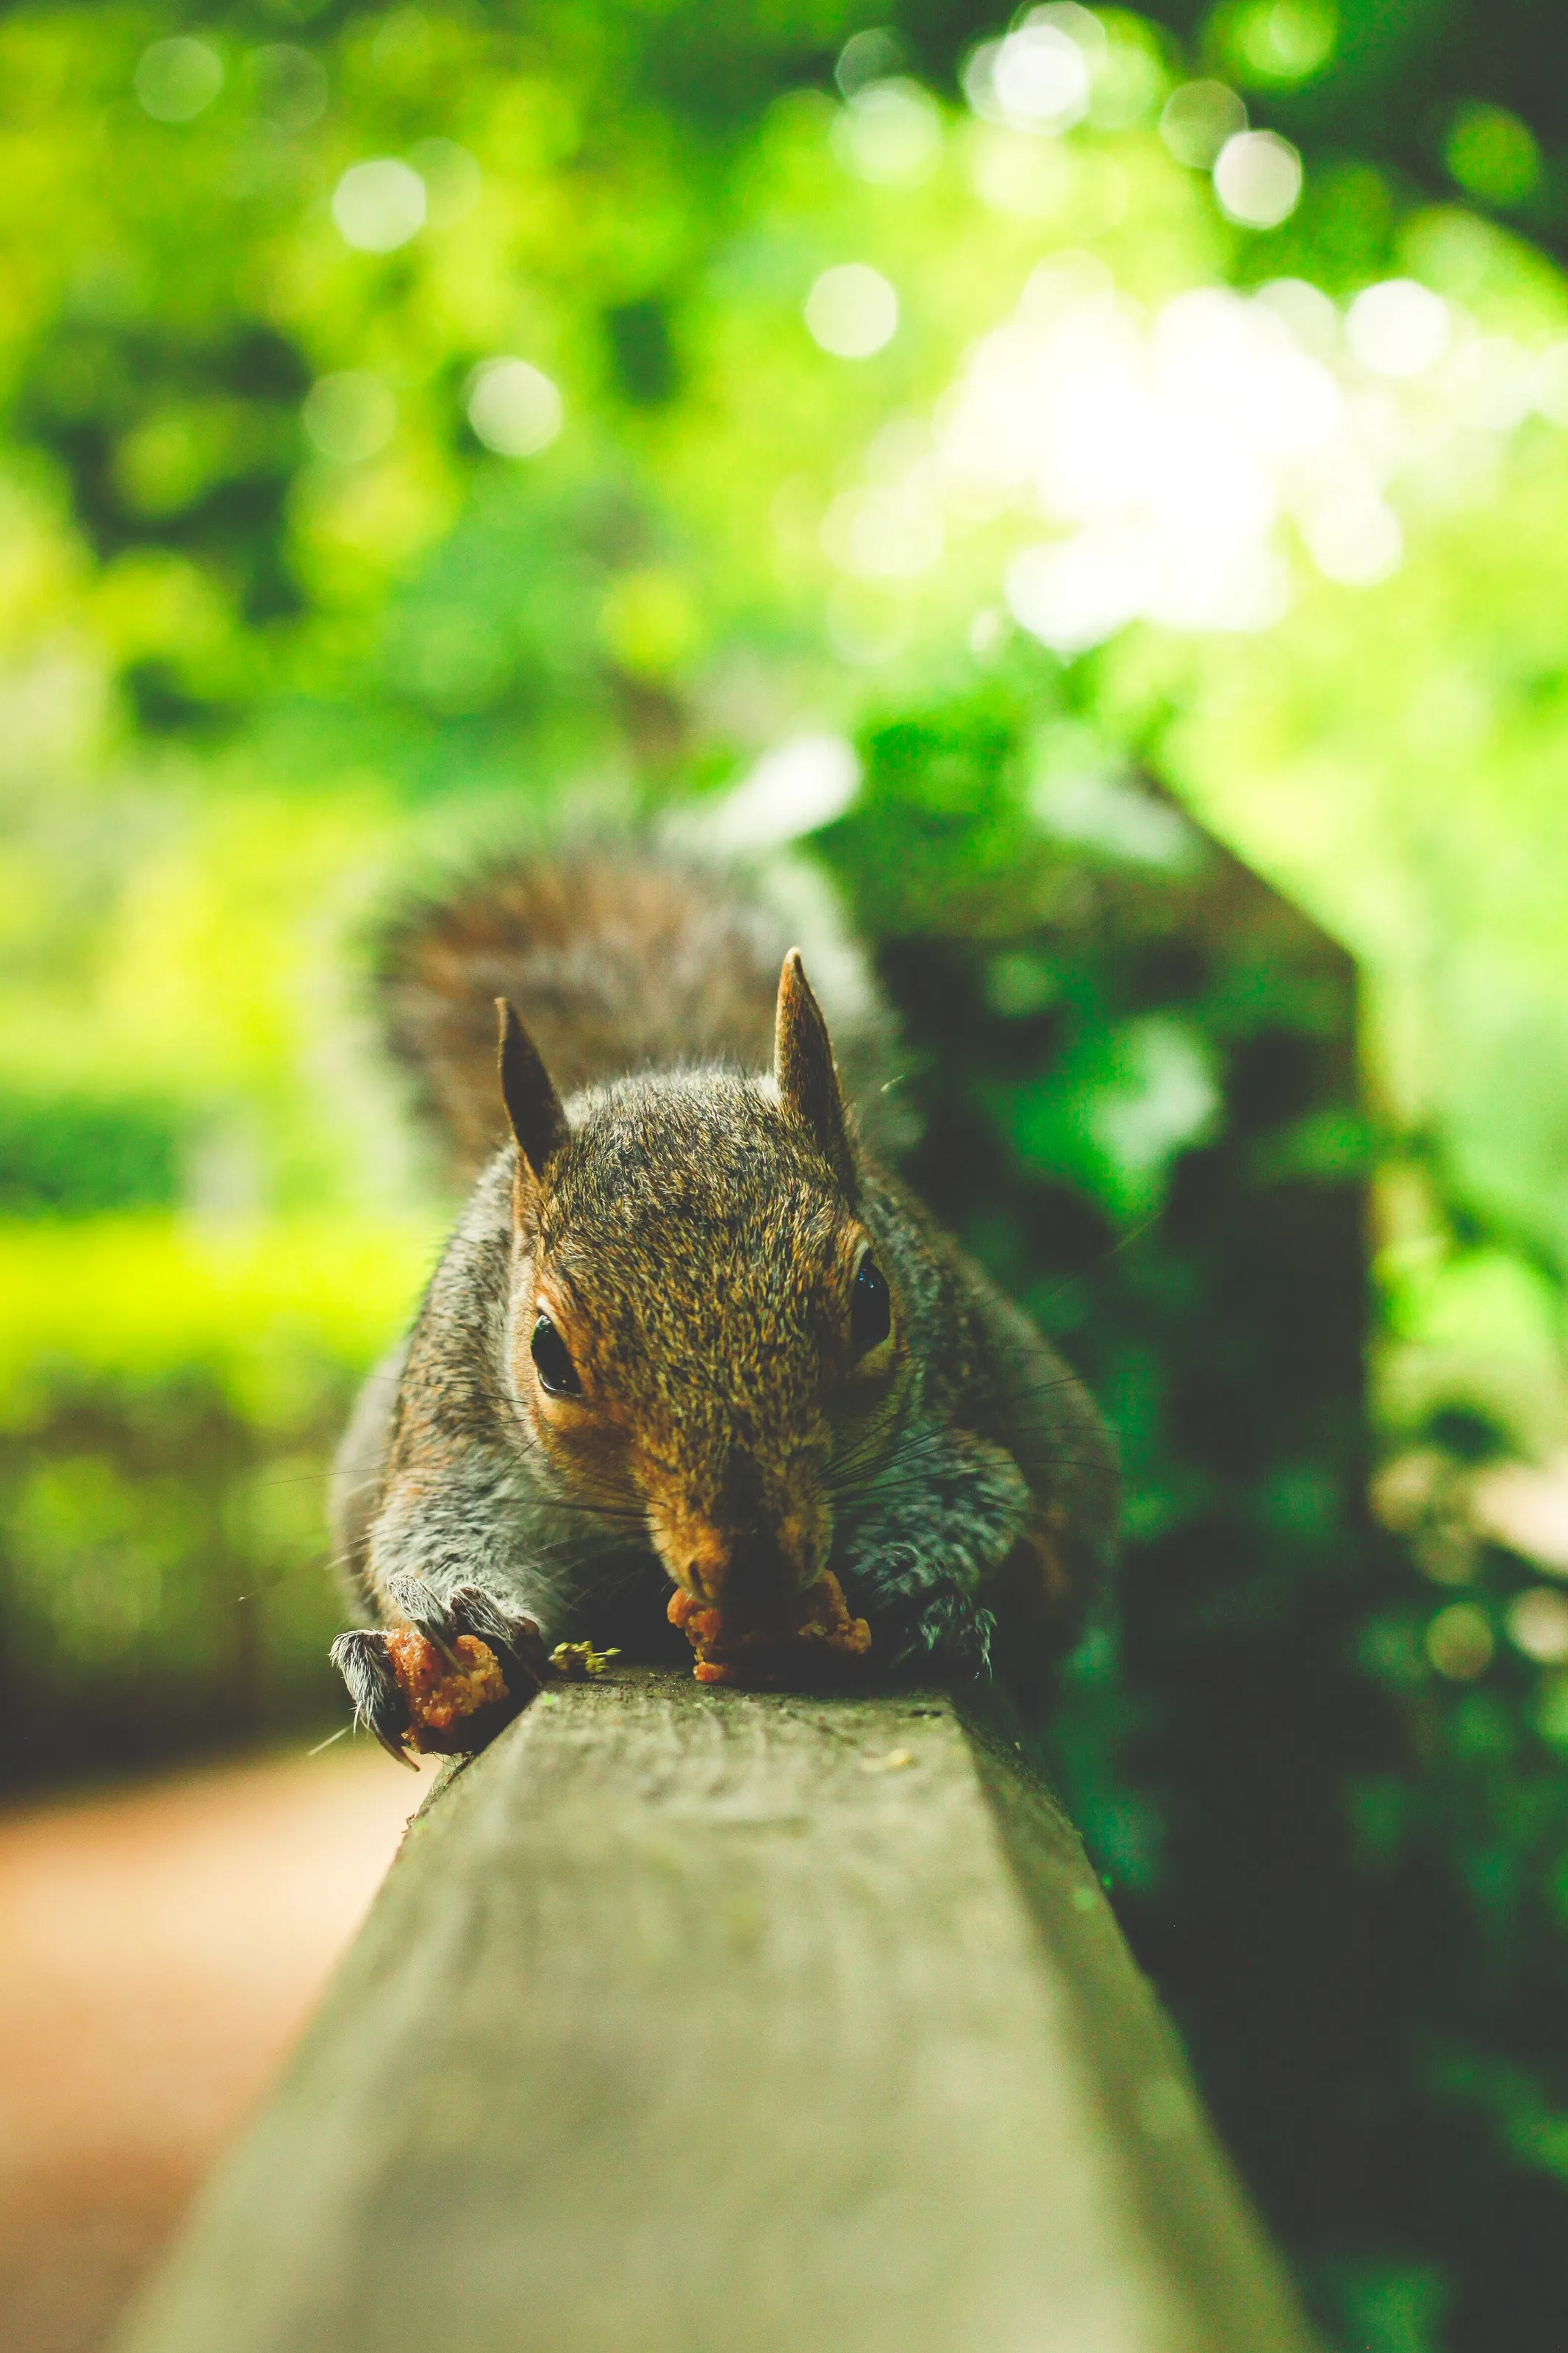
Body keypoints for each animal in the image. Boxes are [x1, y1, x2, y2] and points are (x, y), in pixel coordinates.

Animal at [329, 826, 1118, 1758]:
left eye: (872, 1300)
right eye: (546, 1352)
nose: (754, 1568)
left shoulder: (959, 1415)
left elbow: (978, 1498)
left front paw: (901, 1572)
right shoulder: (453, 1439)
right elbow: (430, 1535)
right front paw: (460, 1615)